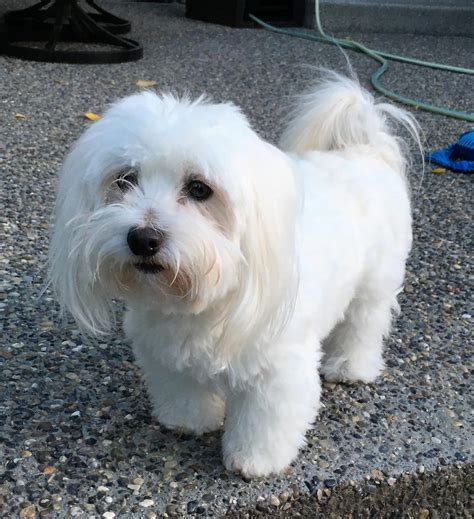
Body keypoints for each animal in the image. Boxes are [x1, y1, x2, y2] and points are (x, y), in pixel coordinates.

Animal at [49, 74, 418, 480]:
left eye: (199, 188)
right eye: (125, 179)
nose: (142, 238)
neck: (202, 300)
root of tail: (366, 150)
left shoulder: (277, 369)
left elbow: (265, 419)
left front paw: (255, 459)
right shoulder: (166, 352)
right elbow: (183, 389)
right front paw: (188, 420)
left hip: (375, 283)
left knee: (363, 324)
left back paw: (351, 366)